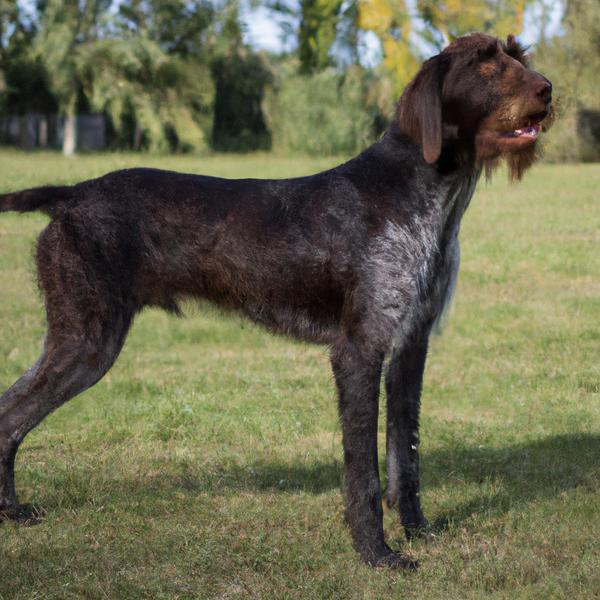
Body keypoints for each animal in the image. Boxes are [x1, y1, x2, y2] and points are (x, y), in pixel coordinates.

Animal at [0, 32, 552, 568]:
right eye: (485, 62)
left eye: (515, 55)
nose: (548, 90)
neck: (421, 192)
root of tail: (71, 194)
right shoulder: (359, 351)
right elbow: (365, 472)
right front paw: (376, 554)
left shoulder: (409, 348)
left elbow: (406, 455)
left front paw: (417, 530)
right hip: (86, 343)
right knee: (10, 417)